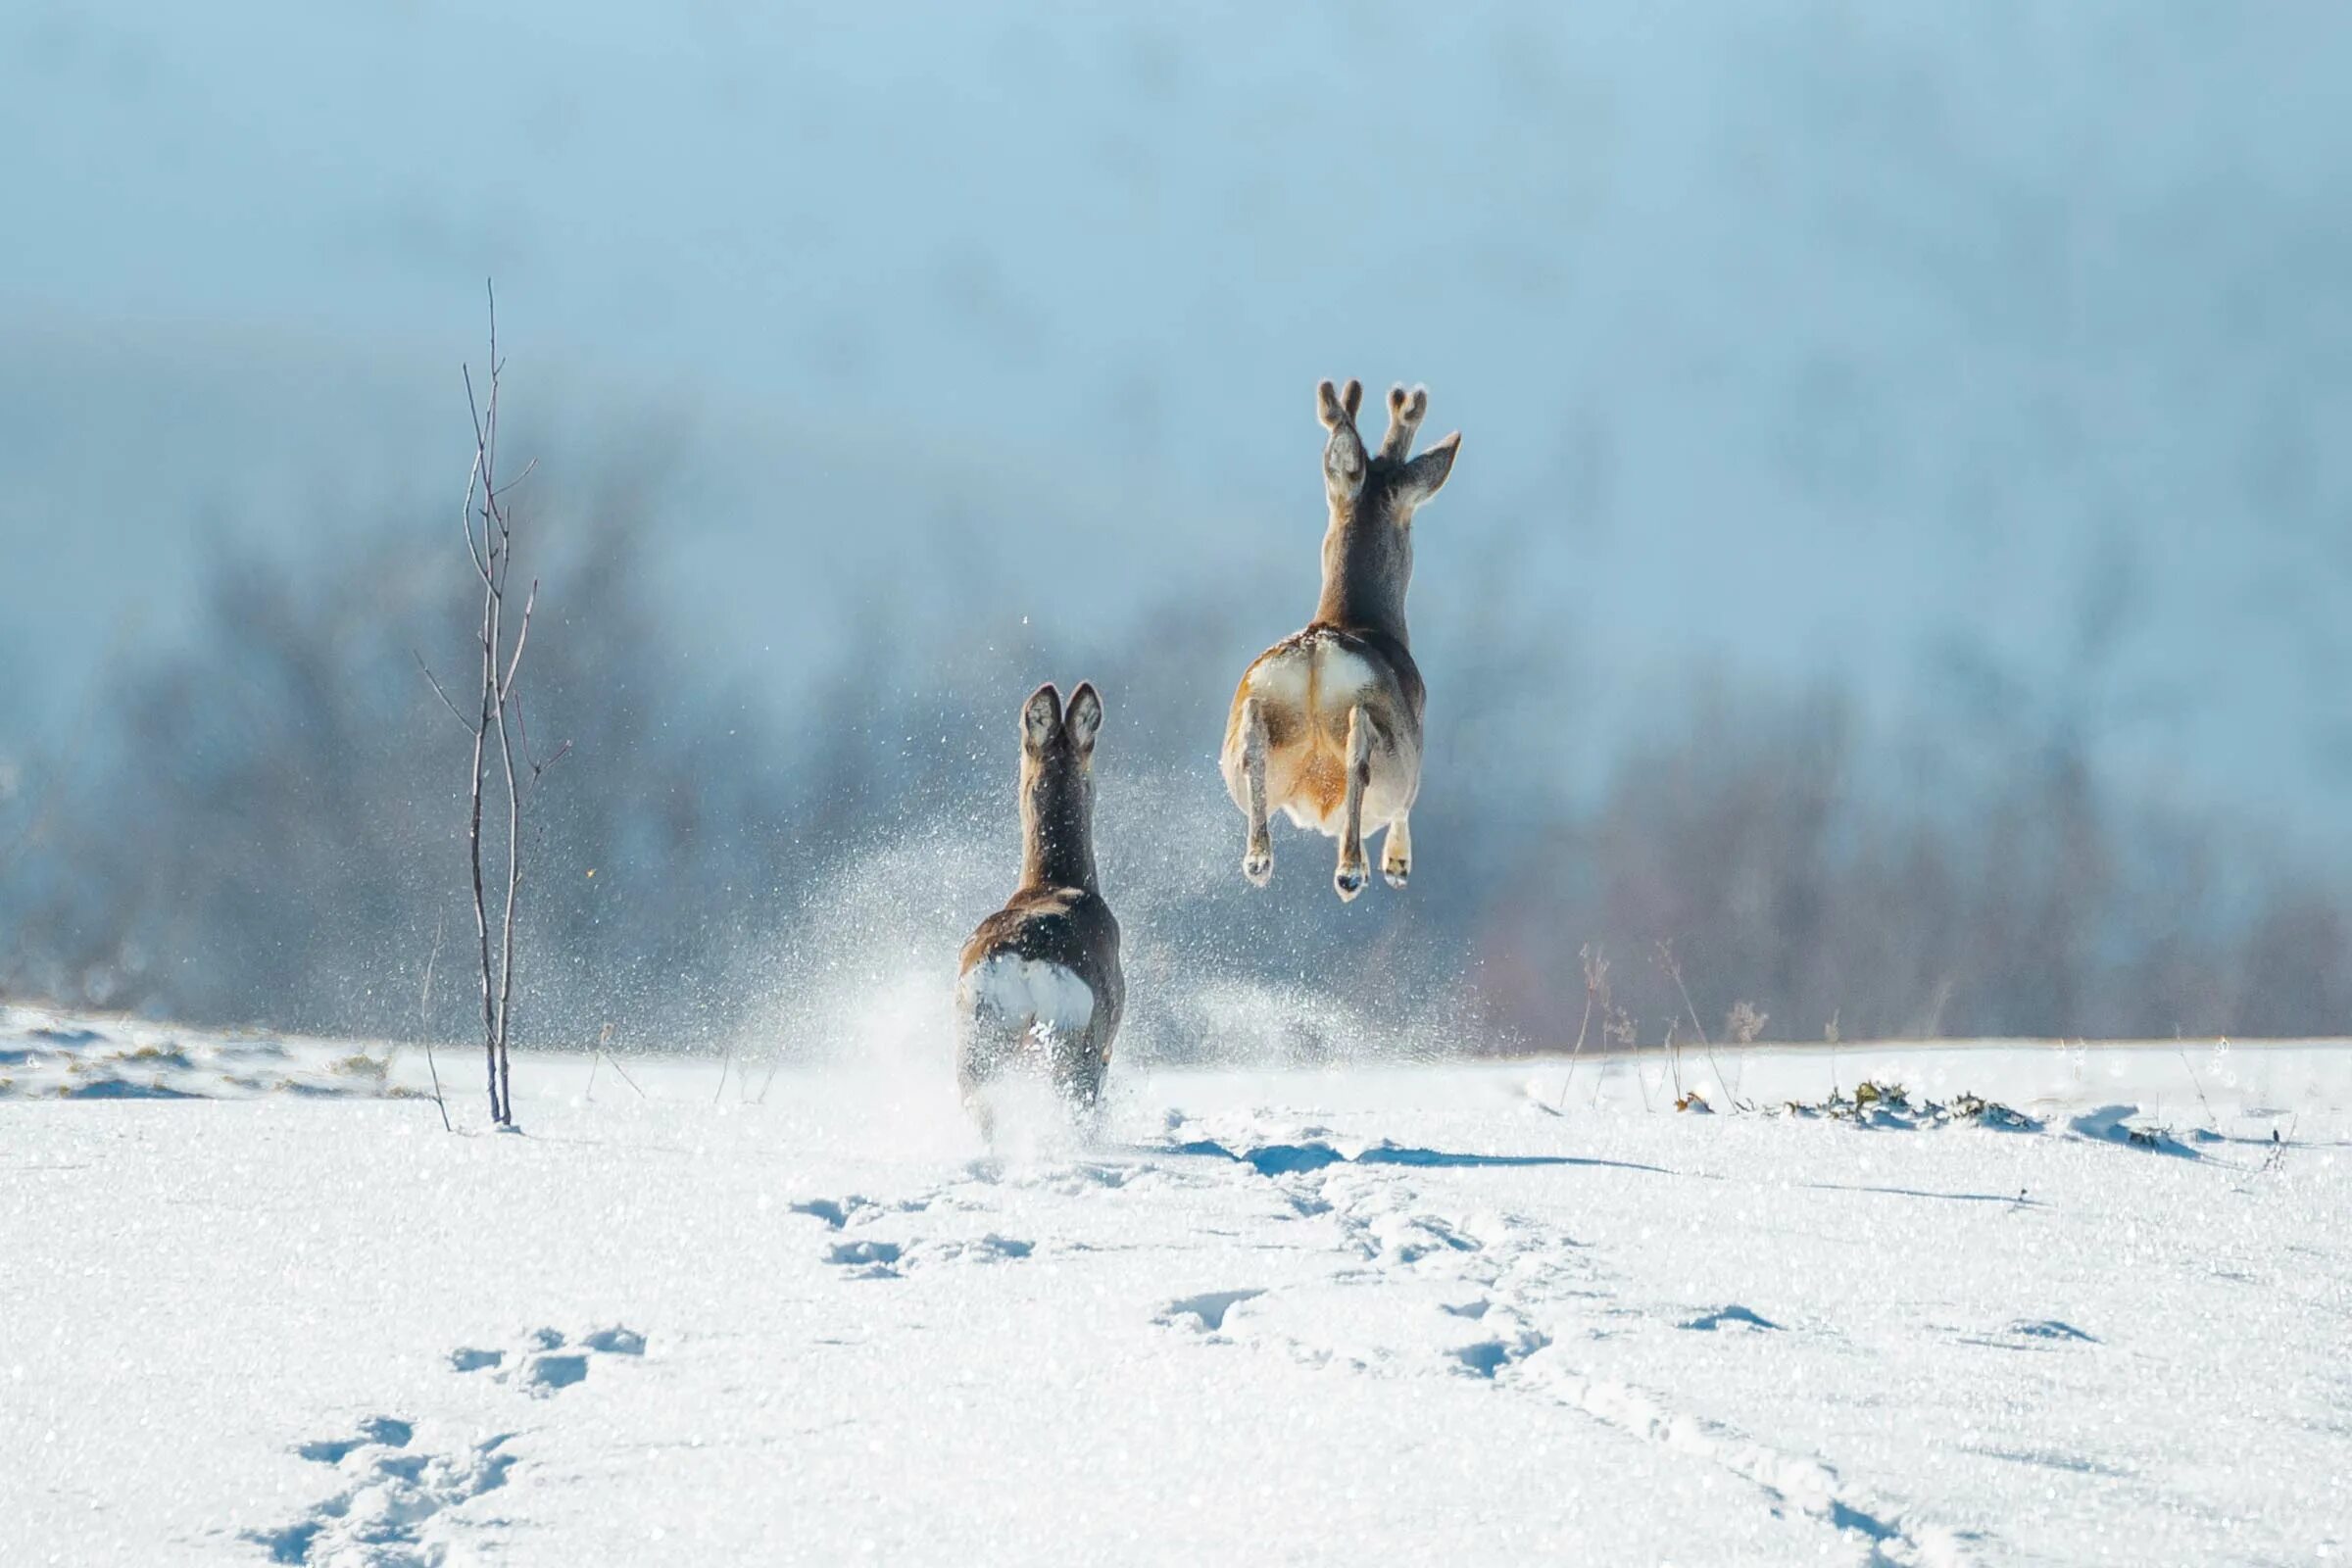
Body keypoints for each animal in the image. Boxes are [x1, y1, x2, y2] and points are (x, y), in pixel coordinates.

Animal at [1223, 375, 1458, 906]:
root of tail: (1317, 650)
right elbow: (1403, 812)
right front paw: (1395, 864)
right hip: (1386, 742)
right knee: (1360, 752)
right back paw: (1352, 871)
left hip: (1256, 724)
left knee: (1254, 744)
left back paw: (1260, 858)